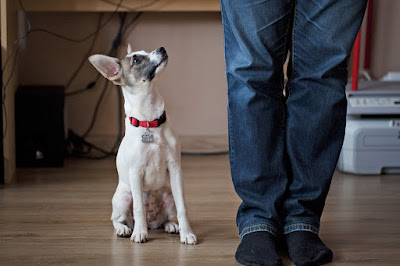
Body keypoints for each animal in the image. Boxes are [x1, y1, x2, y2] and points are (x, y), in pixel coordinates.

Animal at [90, 44, 198, 245]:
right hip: (124, 198)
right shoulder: (135, 172)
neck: (149, 120)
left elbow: (183, 207)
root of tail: (152, 222)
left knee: (167, 218)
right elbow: (139, 208)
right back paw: (125, 229)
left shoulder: (175, 169)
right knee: (117, 219)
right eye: (136, 59)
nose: (162, 48)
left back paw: (171, 225)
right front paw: (140, 233)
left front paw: (187, 233)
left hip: (168, 196)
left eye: (146, 52)